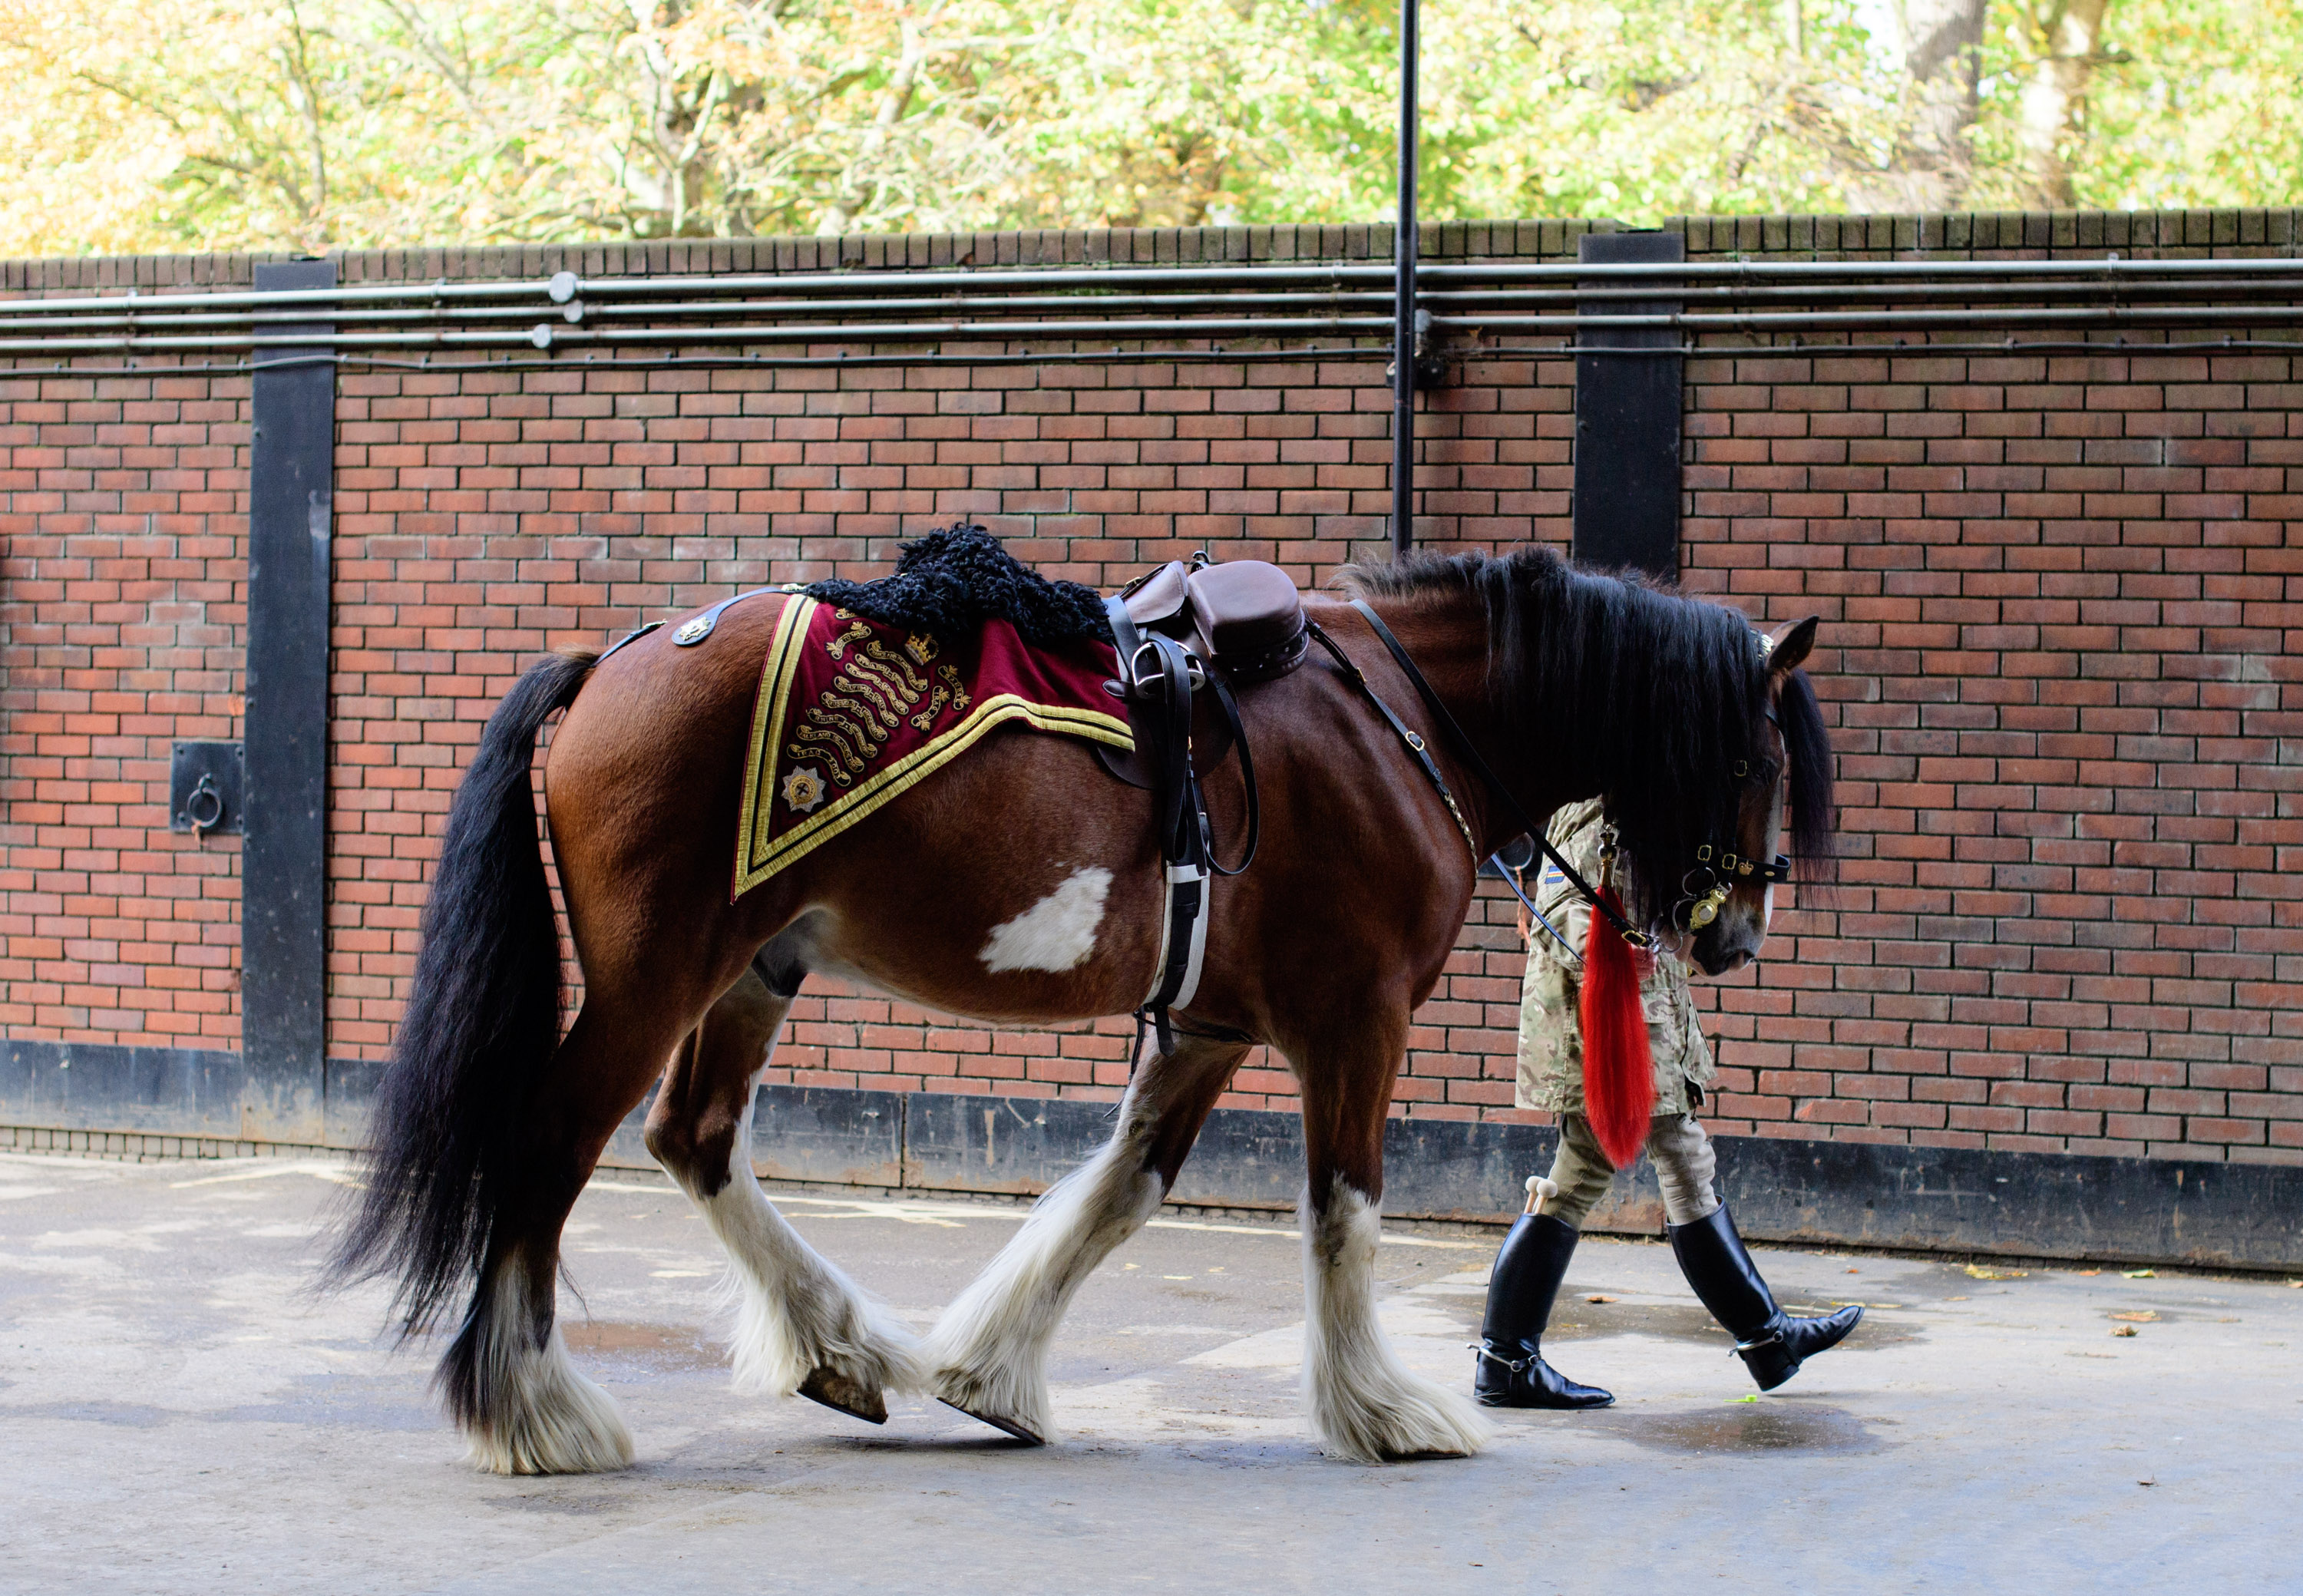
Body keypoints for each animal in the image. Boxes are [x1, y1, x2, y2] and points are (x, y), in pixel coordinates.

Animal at [327, 541, 1836, 1474]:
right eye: (1761, 755)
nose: (1738, 932)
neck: (1401, 715)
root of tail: (618, 654)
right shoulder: (1356, 1020)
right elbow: (1344, 1208)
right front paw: (1384, 1405)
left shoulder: (1211, 1025)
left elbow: (1120, 1191)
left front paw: (990, 1371)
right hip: (657, 969)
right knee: (551, 1145)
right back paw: (534, 1405)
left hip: (759, 958)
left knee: (693, 1135)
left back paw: (841, 1343)